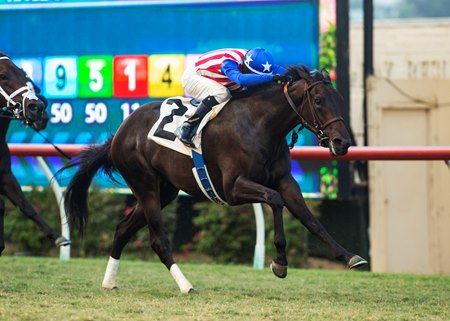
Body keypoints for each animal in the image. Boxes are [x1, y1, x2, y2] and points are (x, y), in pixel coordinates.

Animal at [0, 50, 70, 255]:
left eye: (25, 77)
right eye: (3, 76)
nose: (37, 108)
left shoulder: (5, 175)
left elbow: (25, 205)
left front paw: (58, 237)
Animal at [62, 65, 366, 292]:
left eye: (340, 100)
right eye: (319, 101)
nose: (342, 143)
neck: (260, 124)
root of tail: (119, 133)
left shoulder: (285, 181)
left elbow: (310, 220)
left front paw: (350, 256)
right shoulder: (232, 188)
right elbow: (274, 200)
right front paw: (279, 262)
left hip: (165, 191)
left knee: (123, 229)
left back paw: (109, 282)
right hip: (145, 186)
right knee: (158, 241)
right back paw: (186, 285)